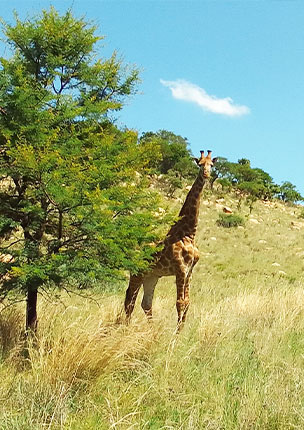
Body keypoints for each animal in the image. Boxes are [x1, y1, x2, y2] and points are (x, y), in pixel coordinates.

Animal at [123, 149, 216, 328]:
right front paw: (176, 333)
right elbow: (180, 302)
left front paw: (182, 331)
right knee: (130, 299)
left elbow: (187, 302)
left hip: (151, 276)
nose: (206, 174)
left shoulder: (189, 271)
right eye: (200, 164)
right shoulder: (180, 269)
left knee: (145, 303)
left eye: (211, 165)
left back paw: (152, 330)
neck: (188, 233)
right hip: (137, 273)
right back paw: (125, 327)